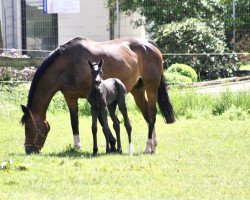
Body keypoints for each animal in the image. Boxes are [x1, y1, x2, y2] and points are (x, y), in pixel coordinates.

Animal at [20, 36, 175, 155]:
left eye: (28, 128)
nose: (29, 150)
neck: (68, 64)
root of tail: (149, 44)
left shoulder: (95, 101)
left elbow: (101, 121)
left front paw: (112, 144)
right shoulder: (70, 97)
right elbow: (74, 121)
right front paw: (77, 146)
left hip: (151, 88)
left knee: (153, 115)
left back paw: (148, 146)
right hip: (138, 91)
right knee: (147, 115)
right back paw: (152, 145)